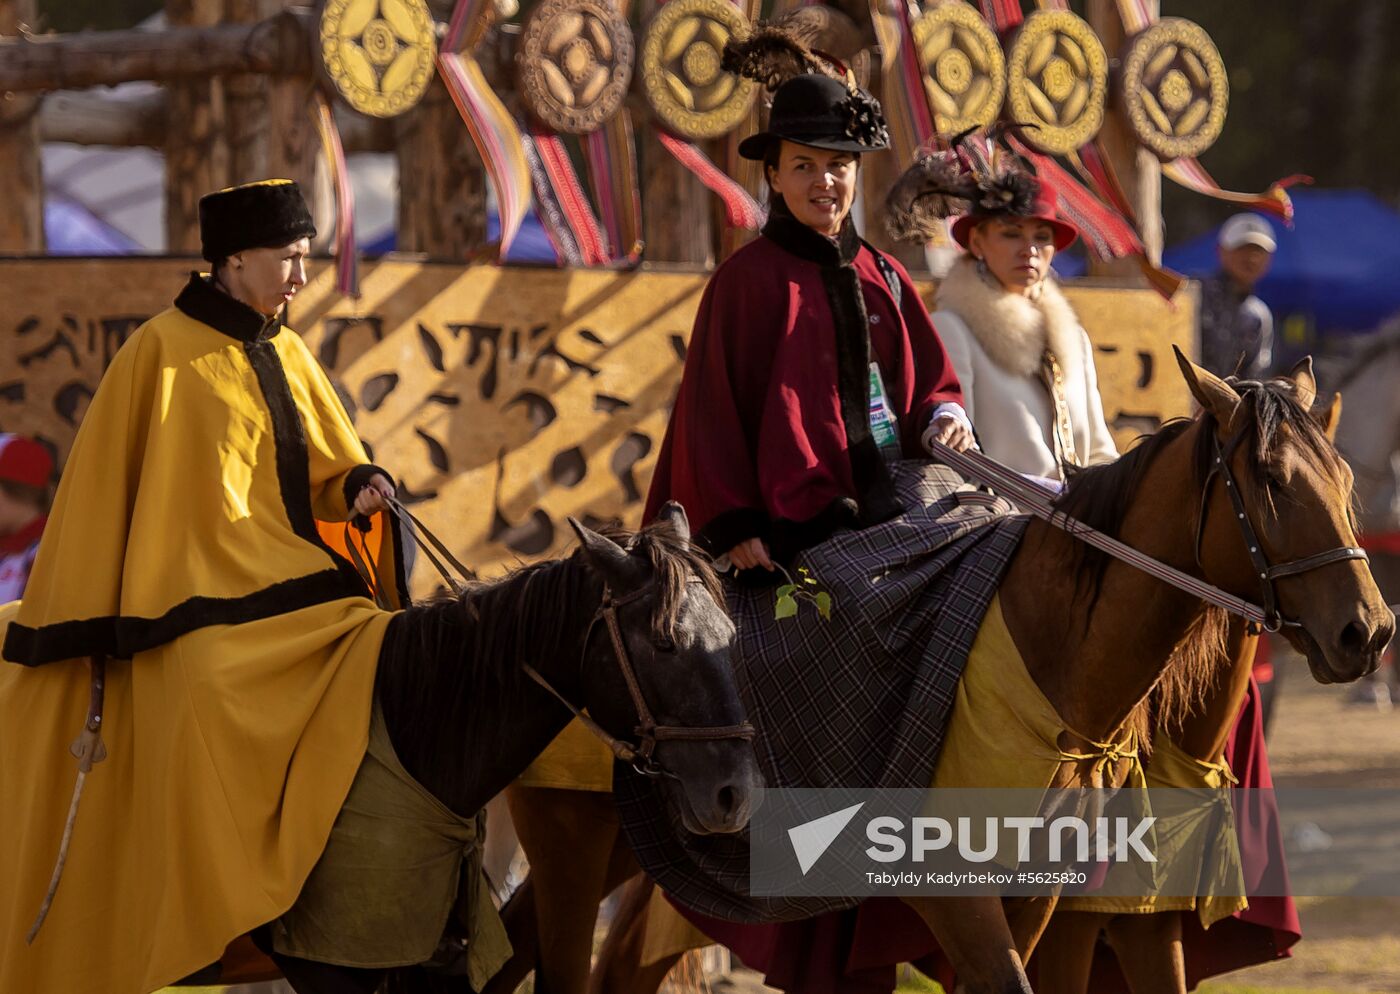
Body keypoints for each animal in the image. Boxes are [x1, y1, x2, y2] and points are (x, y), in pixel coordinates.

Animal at [501, 352, 1388, 994]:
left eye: (1346, 482)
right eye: (1271, 481)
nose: (1369, 631)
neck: (1049, 660)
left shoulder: (1054, 901)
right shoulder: (963, 900)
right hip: (574, 838)